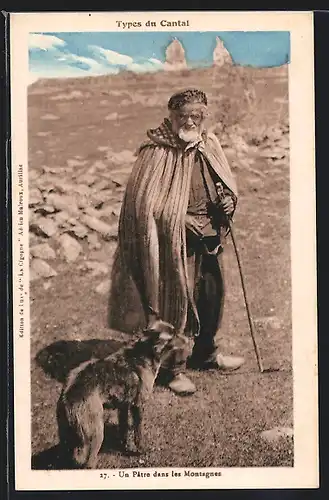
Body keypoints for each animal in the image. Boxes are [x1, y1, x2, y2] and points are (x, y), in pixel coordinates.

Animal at [56, 322, 187, 470]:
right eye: (173, 335)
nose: (189, 340)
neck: (144, 352)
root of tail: (70, 396)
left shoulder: (123, 406)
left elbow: (124, 428)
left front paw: (125, 445)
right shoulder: (138, 405)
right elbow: (138, 432)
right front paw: (140, 449)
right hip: (96, 435)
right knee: (89, 462)